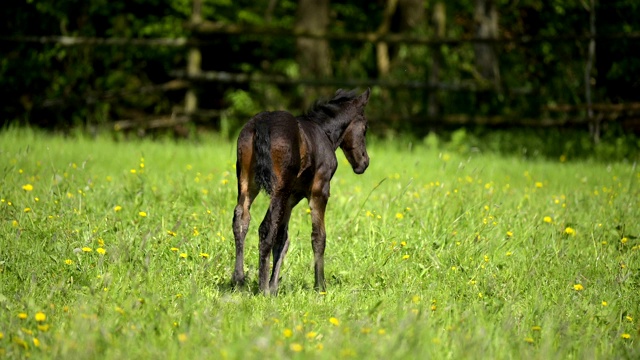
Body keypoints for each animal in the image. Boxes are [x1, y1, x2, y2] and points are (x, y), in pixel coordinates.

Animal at [231, 88, 370, 296]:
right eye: (365, 128)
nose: (364, 162)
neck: (324, 133)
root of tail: (263, 122)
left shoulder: (290, 198)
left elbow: (283, 239)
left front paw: (275, 286)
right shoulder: (320, 190)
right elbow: (318, 237)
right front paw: (320, 286)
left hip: (248, 183)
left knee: (241, 219)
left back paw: (239, 281)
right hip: (279, 188)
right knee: (265, 228)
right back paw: (262, 287)